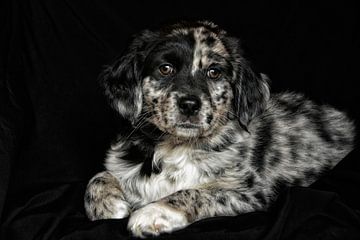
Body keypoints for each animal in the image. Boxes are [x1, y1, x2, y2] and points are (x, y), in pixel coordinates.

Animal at [83, 21, 354, 238]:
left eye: (214, 72)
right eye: (165, 68)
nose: (190, 104)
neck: (176, 147)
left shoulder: (250, 192)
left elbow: (196, 192)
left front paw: (153, 212)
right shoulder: (120, 161)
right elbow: (99, 175)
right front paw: (108, 204)